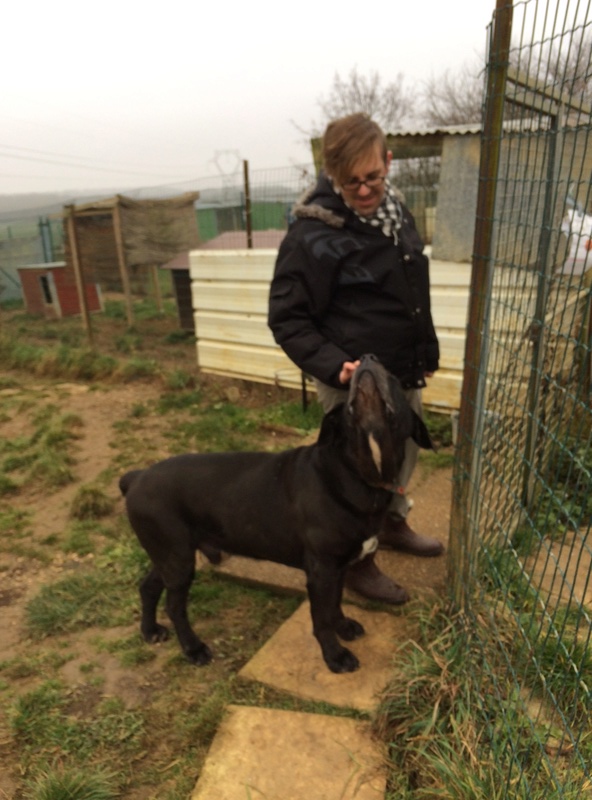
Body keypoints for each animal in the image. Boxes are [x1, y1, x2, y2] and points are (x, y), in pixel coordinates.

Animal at [120, 354, 432, 672]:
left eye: (393, 378)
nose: (368, 358)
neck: (356, 472)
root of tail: (137, 477)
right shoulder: (321, 570)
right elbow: (321, 618)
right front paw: (335, 656)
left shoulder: (339, 566)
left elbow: (335, 604)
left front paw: (344, 627)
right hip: (178, 558)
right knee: (174, 606)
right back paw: (193, 649)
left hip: (168, 555)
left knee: (148, 586)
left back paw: (150, 630)